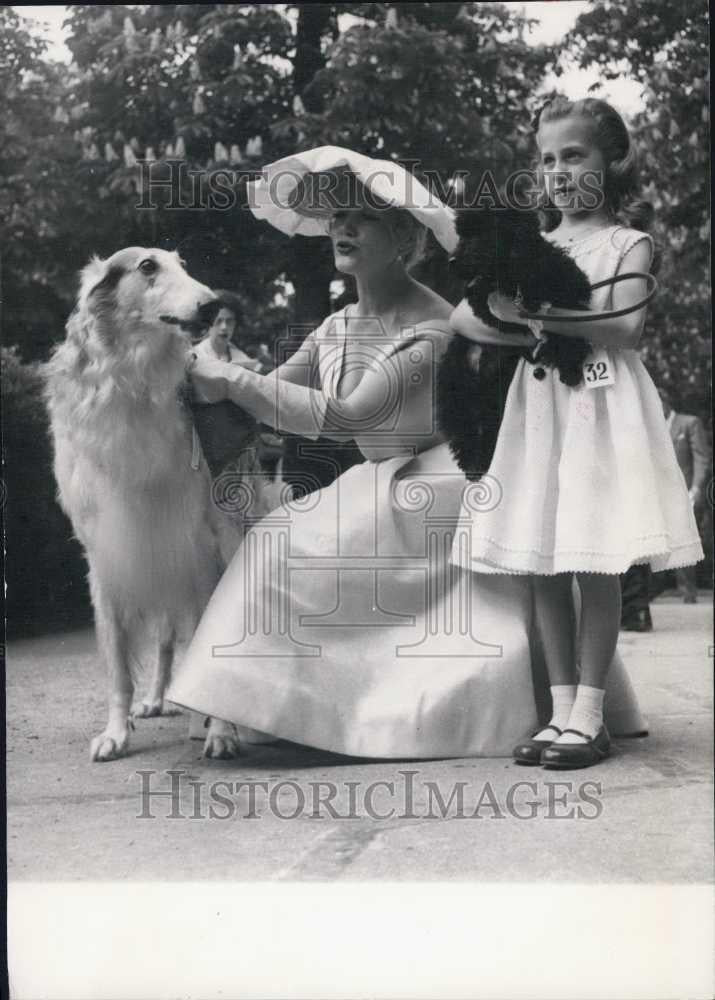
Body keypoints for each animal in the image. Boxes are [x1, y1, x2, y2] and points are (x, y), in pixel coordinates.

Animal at [46, 248, 276, 756]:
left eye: (183, 264)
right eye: (147, 267)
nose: (211, 305)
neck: (134, 385)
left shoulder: (211, 539)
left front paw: (221, 731)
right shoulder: (109, 550)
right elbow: (118, 665)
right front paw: (115, 733)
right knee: (168, 640)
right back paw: (156, 699)